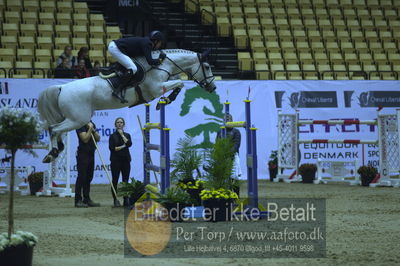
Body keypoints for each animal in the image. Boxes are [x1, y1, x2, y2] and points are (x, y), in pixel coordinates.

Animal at [38, 48, 216, 163]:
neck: (160, 65)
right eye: (207, 67)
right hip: (78, 119)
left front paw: (165, 101)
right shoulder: (156, 88)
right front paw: (166, 100)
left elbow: (179, 82)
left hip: (72, 118)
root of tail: (61, 87)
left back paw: (55, 150)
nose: (213, 88)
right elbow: (180, 83)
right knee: (54, 129)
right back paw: (52, 153)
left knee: (55, 129)